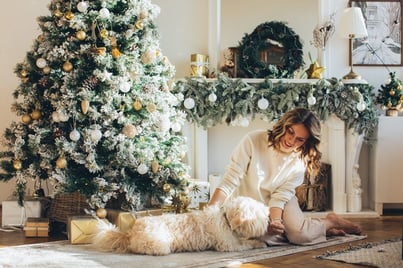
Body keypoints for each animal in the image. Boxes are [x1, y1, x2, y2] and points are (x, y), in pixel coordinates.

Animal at [94, 197, 270, 255]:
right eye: (261, 214)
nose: (269, 220)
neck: (226, 219)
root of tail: (129, 232)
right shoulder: (229, 245)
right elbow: (247, 244)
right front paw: (259, 243)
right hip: (159, 244)